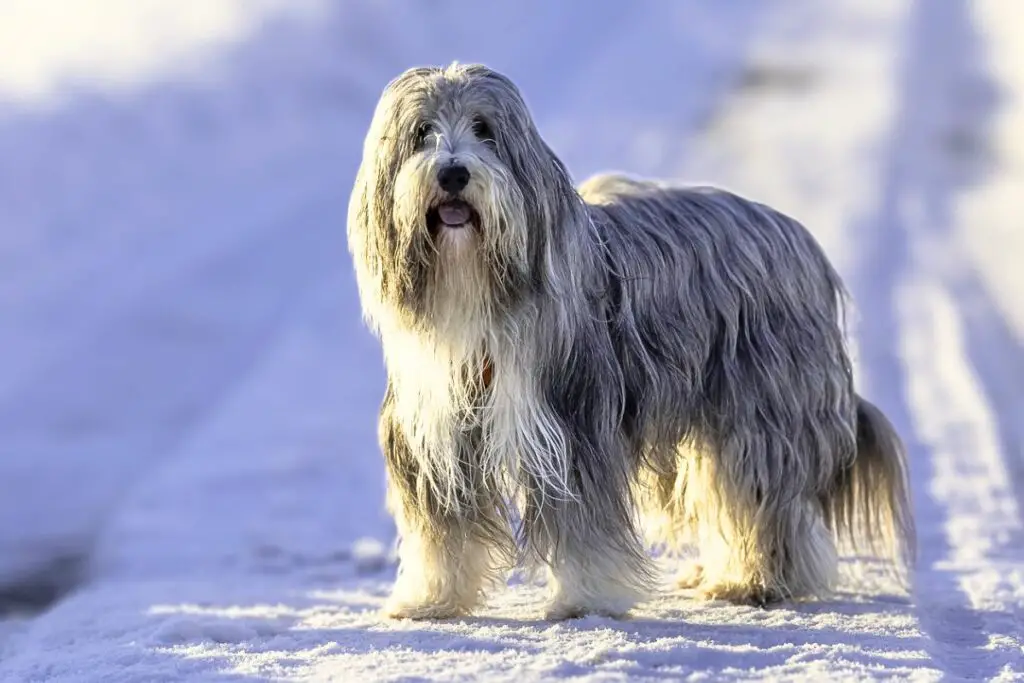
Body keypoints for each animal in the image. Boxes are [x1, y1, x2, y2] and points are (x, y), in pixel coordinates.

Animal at [348, 62, 917, 618]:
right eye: (421, 133)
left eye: (485, 130)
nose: (453, 173)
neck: (475, 292)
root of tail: (797, 237)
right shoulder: (435, 433)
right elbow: (441, 533)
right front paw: (431, 598)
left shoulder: (573, 426)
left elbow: (585, 526)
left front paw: (585, 599)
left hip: (759, 409)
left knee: (761, 498)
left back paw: (753, 580)